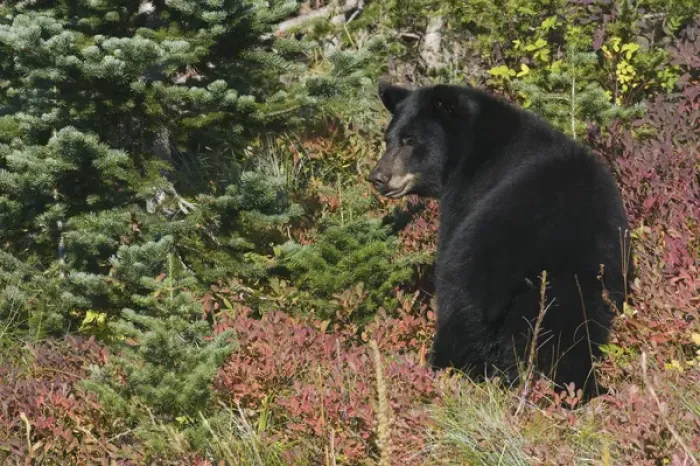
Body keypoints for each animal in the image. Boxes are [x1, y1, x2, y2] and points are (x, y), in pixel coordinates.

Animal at [368, 80, 632, 397]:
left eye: (409, 141)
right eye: (388, 139)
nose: (377, 177)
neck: (474, 150)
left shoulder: (464, 198)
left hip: (476, 271)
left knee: (460, 317)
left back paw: (445, 367)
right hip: (586, 280)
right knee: (574, 332)